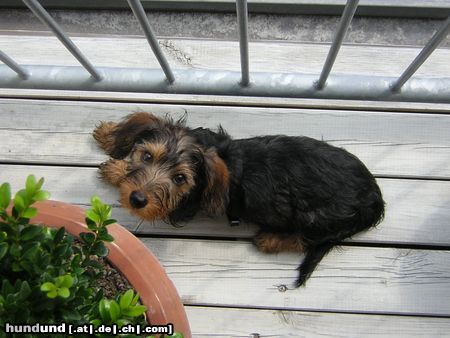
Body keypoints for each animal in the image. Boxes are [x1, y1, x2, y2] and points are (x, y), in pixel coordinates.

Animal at [93, 112, 384, 286]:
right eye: (147, 156)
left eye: (180, 179)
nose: (137, 199)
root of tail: (375, 198)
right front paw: (110, 136)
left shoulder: (181, 208)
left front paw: (115, 170)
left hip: (315, 218)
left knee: (306, 239)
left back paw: (270, 239)